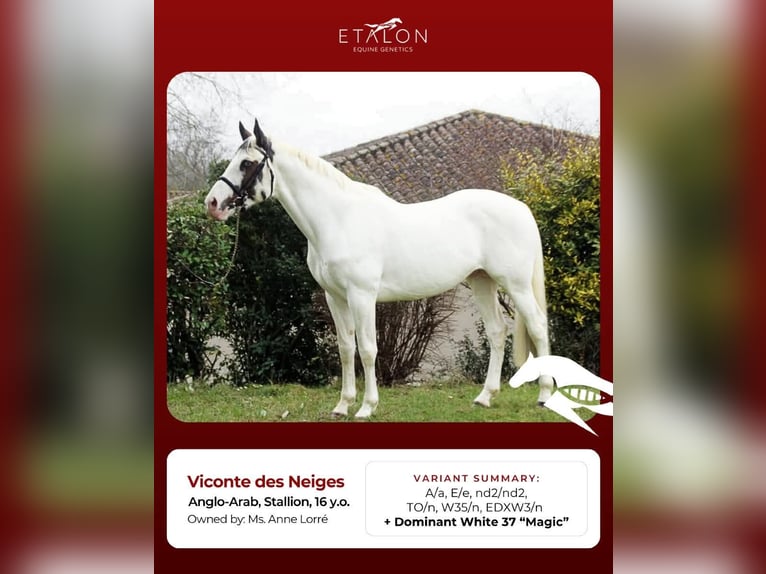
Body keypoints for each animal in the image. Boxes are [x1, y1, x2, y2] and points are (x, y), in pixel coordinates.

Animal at [204, 118, 554, 419]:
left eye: (246, 163)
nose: (212, 203)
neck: (338, 219)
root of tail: (520, 208)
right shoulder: (335, 297)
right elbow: (347, 349)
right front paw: (342, 406)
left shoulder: (362, 296)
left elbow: (369, 349)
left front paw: (366, 407)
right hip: (482, 280)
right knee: (497, 331)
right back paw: (484, 397)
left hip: (515, 284)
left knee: (537, 326)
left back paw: (544, 396)